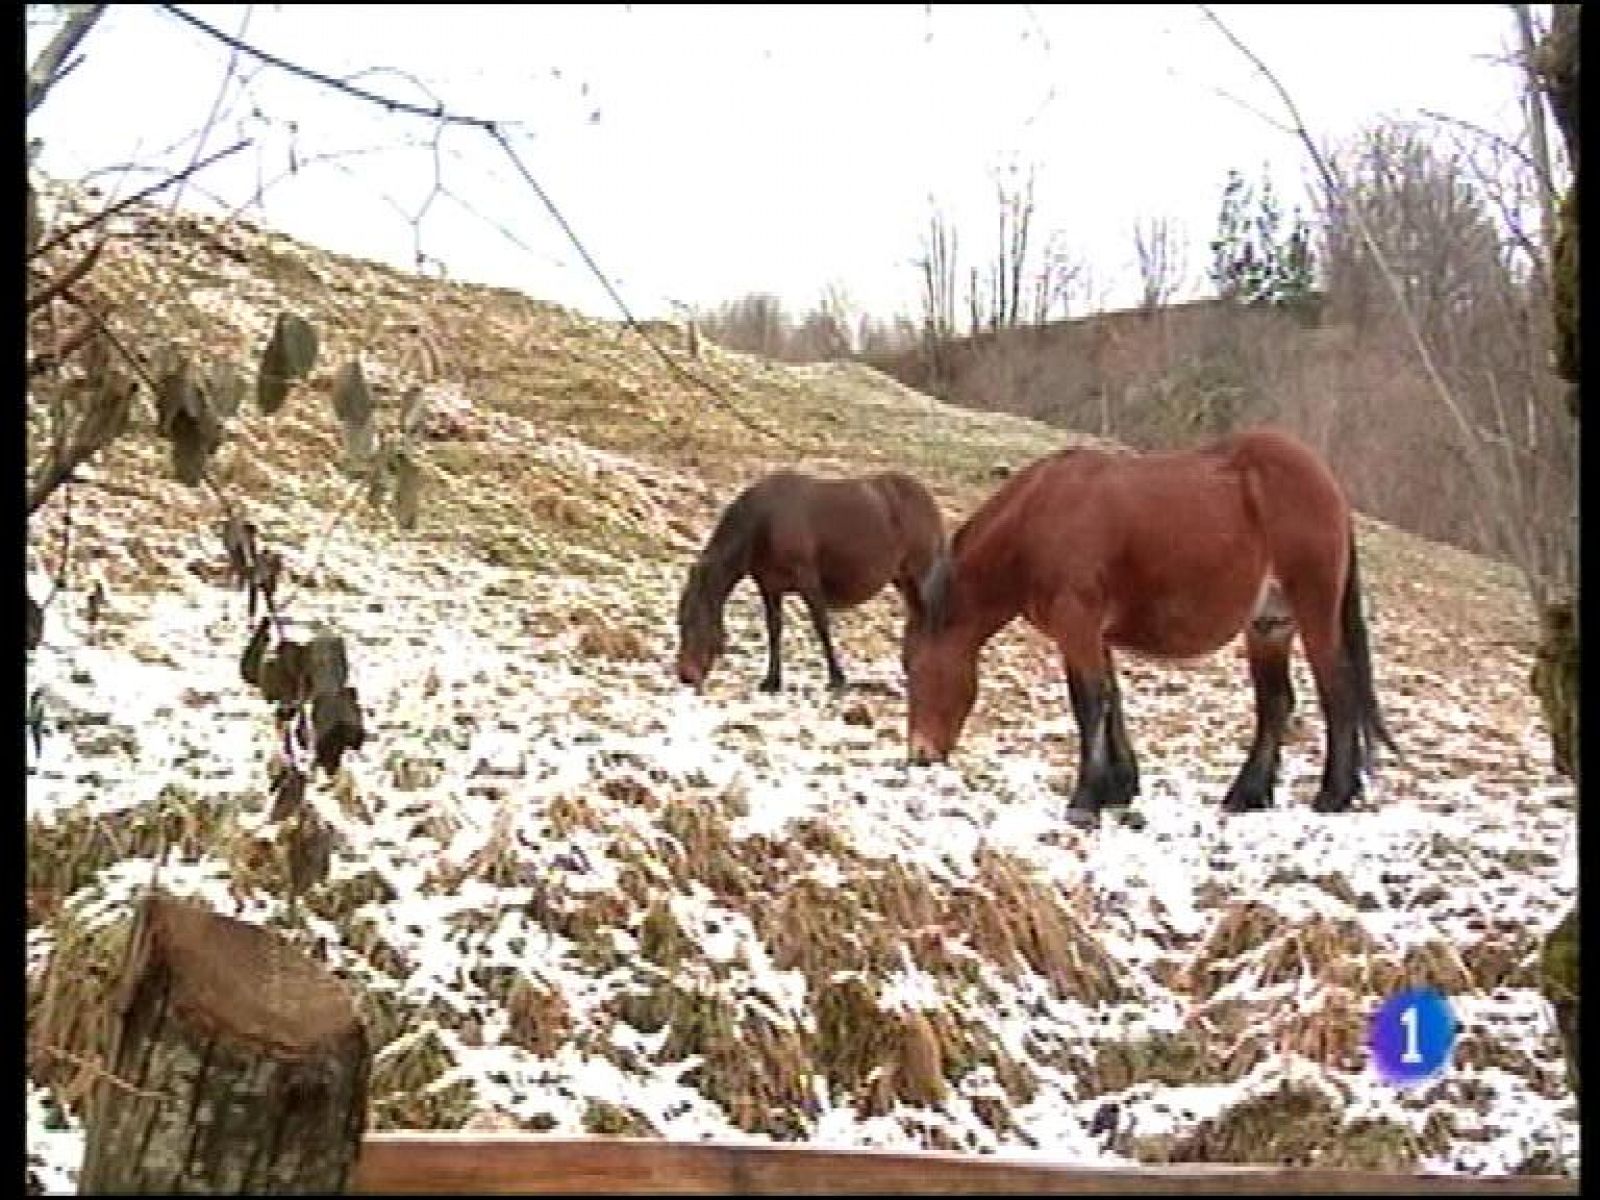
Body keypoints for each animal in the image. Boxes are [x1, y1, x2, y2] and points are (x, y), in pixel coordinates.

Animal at [678, 473, 947, 694]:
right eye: (680, 622)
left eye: (695, 620)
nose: (685, 676)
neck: (764, 524)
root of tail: (927, 499)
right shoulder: (770, 588)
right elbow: (774, 630)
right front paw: (772, 681)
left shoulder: (808, 582)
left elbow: (821, 626)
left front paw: (837, 679)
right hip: (904, 579)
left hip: (921, 574)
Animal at [908, 428, 1395, 825]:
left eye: (912, 668)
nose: (919, 756)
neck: (1038, 519)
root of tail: (1327, 484)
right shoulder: (1093, 634)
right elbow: (1111, 701)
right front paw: (1119, 789)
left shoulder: (1077, 623)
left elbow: (1089, 702)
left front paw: (1085, 801)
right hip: (1269, 625)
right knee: (1276, 702)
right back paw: (1246, 796)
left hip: (1313, 612)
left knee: (1338, 693)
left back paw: (1333, 795)